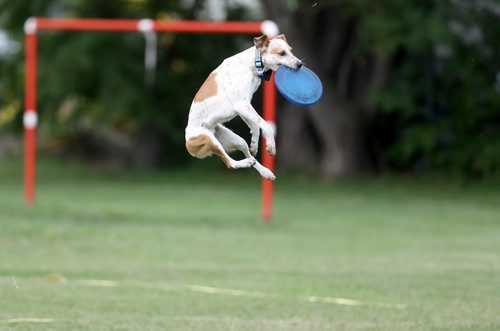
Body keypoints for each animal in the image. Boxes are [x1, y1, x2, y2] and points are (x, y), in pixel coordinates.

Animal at [186, 33, 302, 182]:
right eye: (282, 53)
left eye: (291, 50)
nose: (300, 64)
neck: (252, 65)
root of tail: (188, 143)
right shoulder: (242, 104)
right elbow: (266, 125)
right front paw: (271, 145)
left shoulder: (244, 106)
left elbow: (256, 126)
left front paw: (254, 143)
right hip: (208, 139)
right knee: (230, 163)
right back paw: (247, 163)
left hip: (233, 139)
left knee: (248, 154)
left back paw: (264, 171)